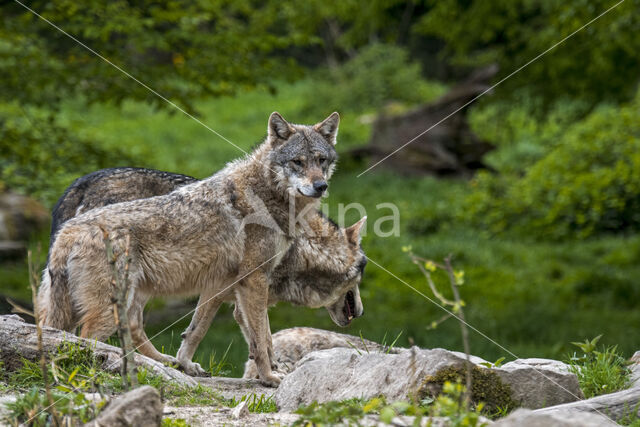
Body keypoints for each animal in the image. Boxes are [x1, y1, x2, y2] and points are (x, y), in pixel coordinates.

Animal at [38, 112, 364, 386]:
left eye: (321, 161)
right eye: (297, 162)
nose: (320, 186)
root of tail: (68, 230)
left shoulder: (221, 286)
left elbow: (199, 330)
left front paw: (188, 365)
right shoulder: (253, 282)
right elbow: (263, 339)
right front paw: (271, 377)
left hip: (130, 294)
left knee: (121, 328)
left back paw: (160, 363)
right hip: (111, 307)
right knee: (91, 338)